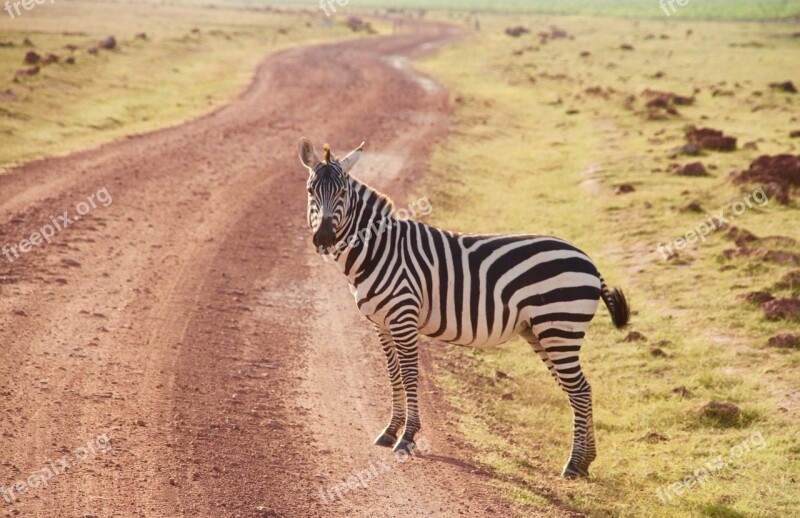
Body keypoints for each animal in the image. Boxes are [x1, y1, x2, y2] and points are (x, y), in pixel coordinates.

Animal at [296, 138, 628, 480]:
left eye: (342, 193)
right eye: (310, 190)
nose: (323, 238)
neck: (378, 250)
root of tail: (588, 261)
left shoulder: (403, 317)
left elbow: (410, 375)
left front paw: (407, 437)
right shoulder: (381, 324)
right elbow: (393, 375)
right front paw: (390, 430)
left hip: (559, 328)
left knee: (579, 390)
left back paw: (574, 464)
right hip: (543, 333)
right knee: (580, 389)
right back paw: (586, 462)